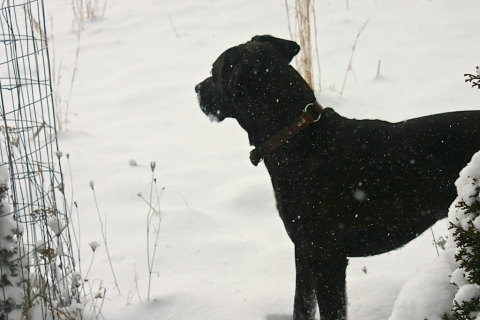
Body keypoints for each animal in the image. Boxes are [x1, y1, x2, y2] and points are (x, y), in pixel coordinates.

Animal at [195, 33, 480, 318]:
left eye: (214, 72)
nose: (196, 88)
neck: (296, 138)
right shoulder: (304, 252)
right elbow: (302, 306)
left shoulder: (327, 258)